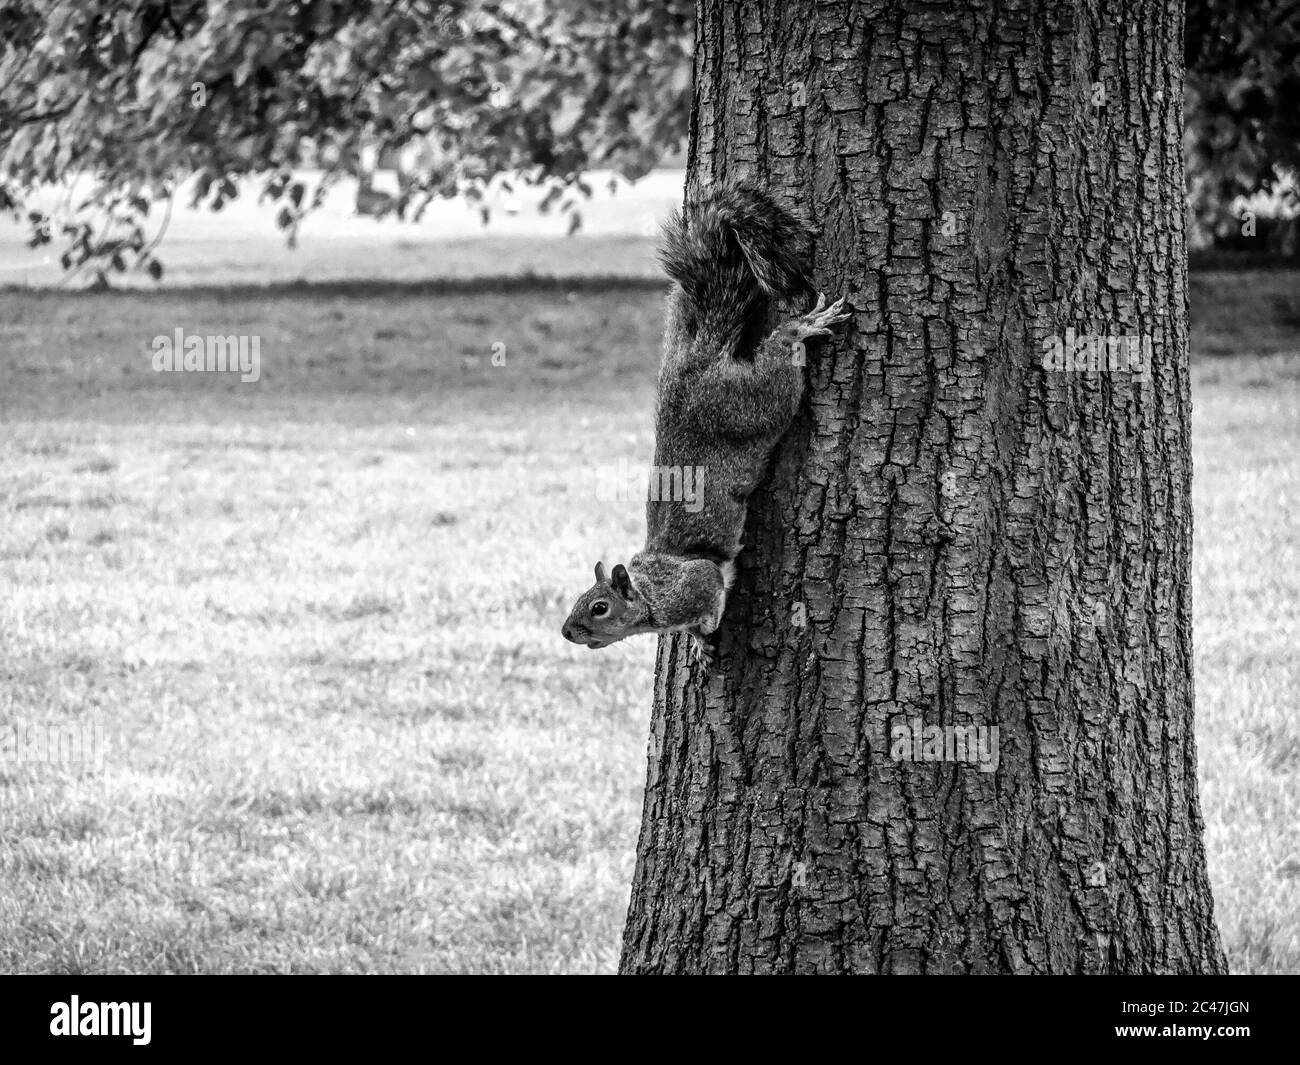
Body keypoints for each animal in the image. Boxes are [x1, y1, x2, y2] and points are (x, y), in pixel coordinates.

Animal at [561, 180, 852, 670]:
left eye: (599, 607)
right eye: (578, 599)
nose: (566, 632)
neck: (650, 591)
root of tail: (697, 367)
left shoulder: (694, 581)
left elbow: (712, 585)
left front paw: (708, 627)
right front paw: (698, 644)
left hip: (757, 401)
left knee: (779, 356)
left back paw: (801, 327)